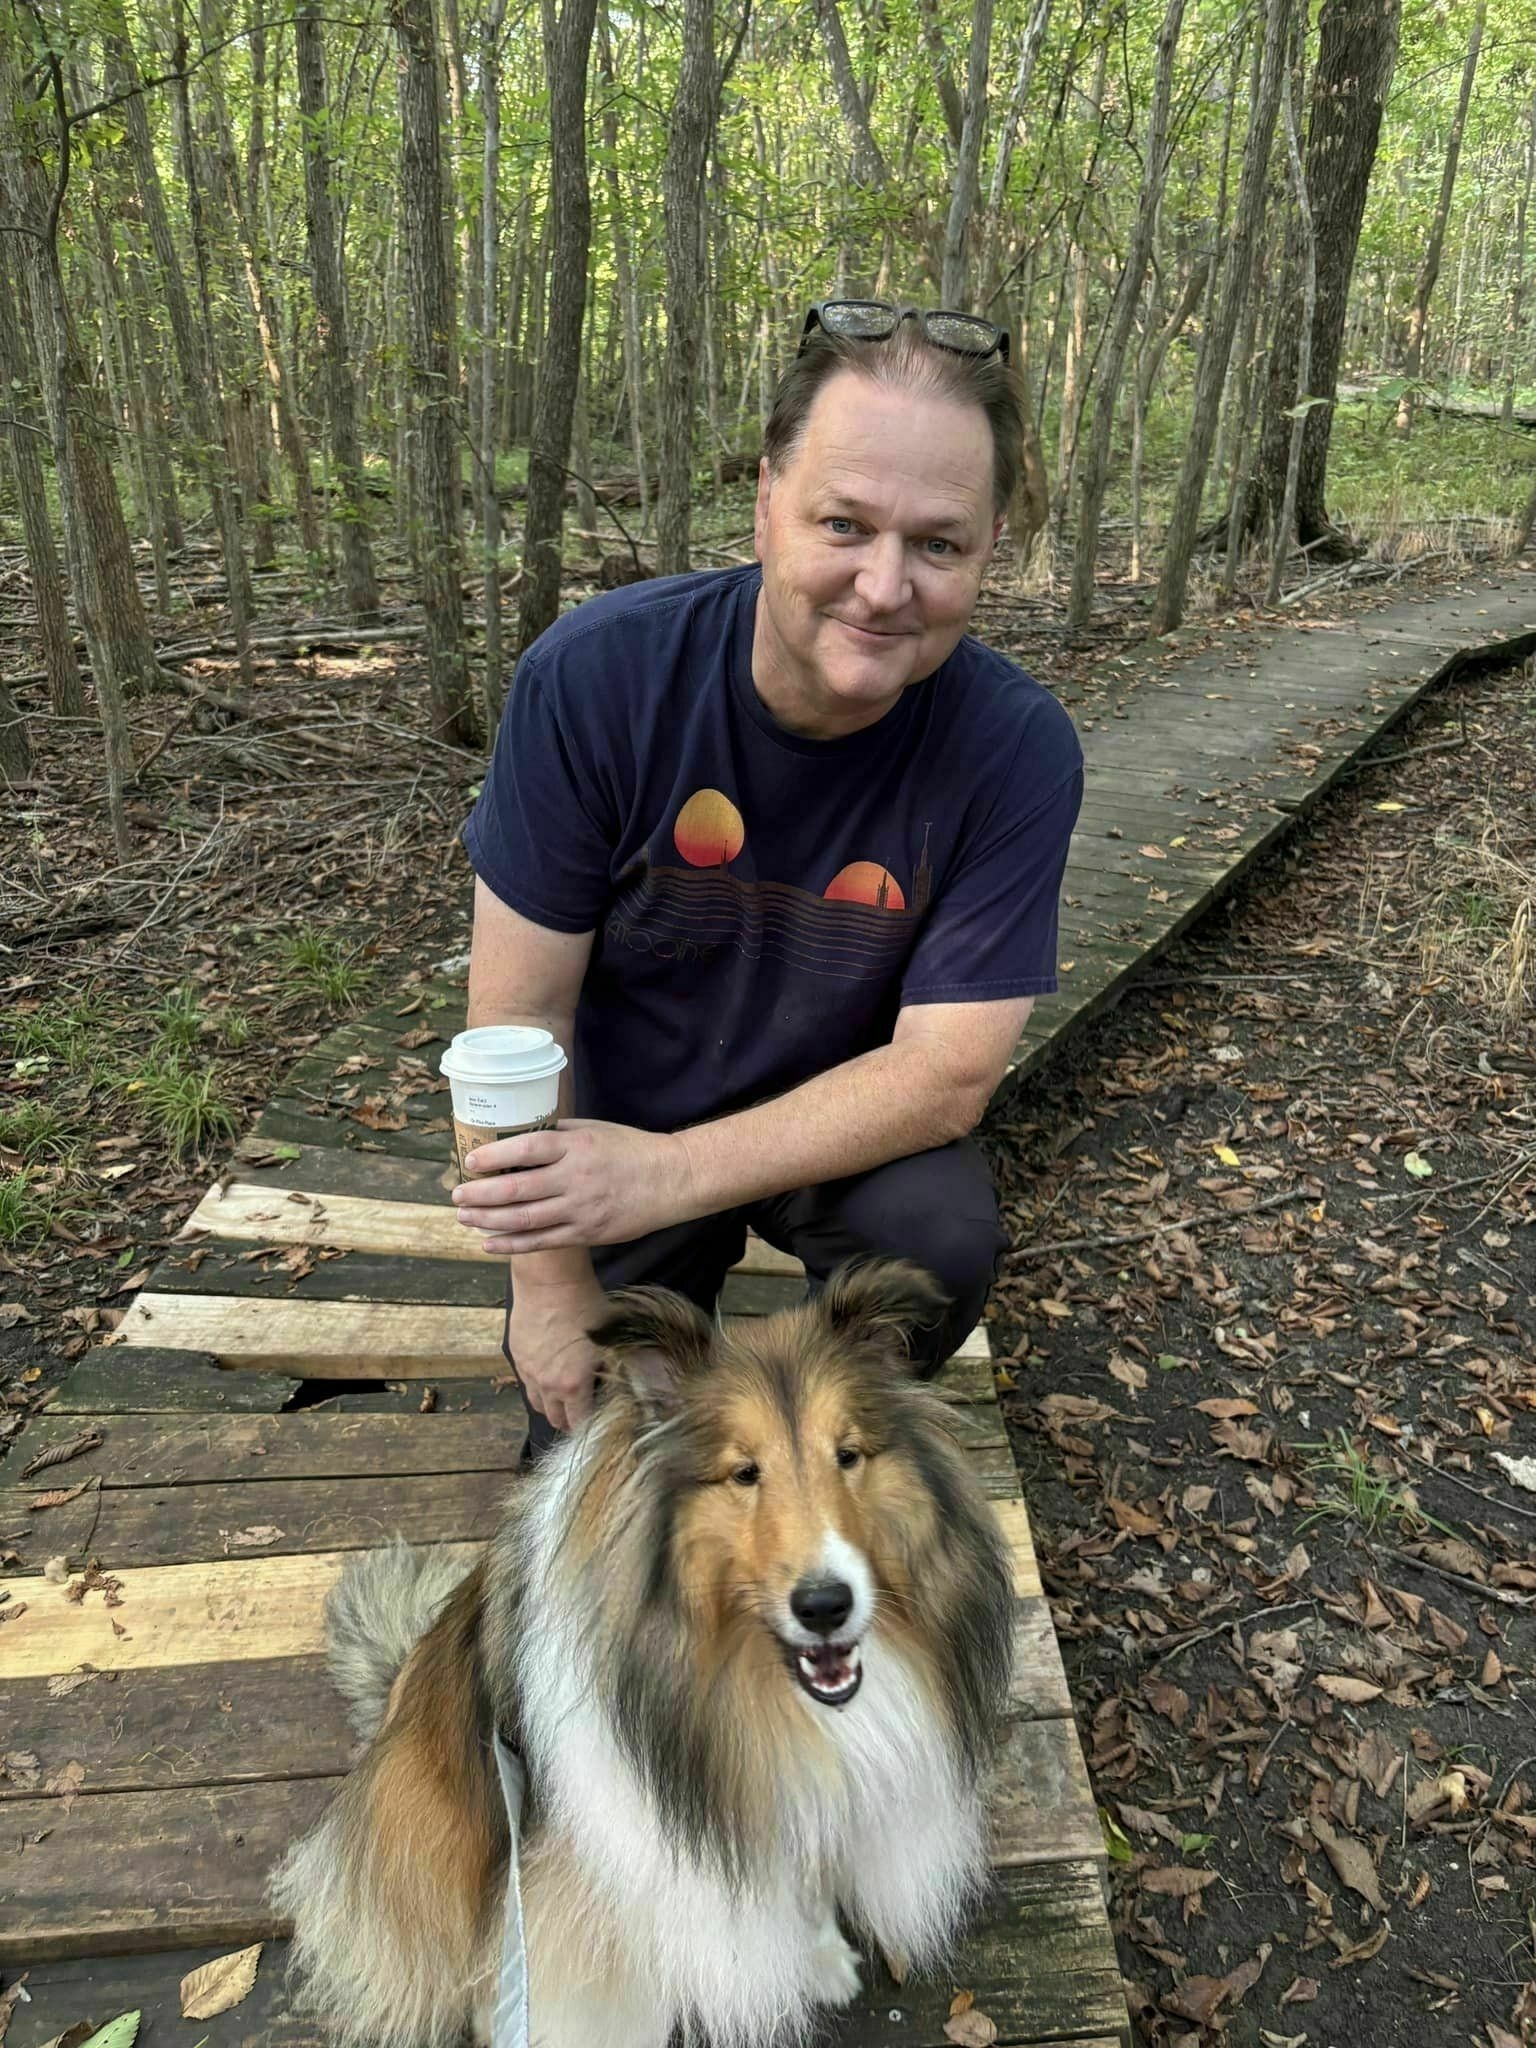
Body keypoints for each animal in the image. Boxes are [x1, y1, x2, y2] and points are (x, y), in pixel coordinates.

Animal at [274, 1245, 1024, 2048]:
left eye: (847, 1455)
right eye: (743, 1472)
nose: (826, 1605)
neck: (747, 1683)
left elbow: (807, 1875)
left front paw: (823, 1958)